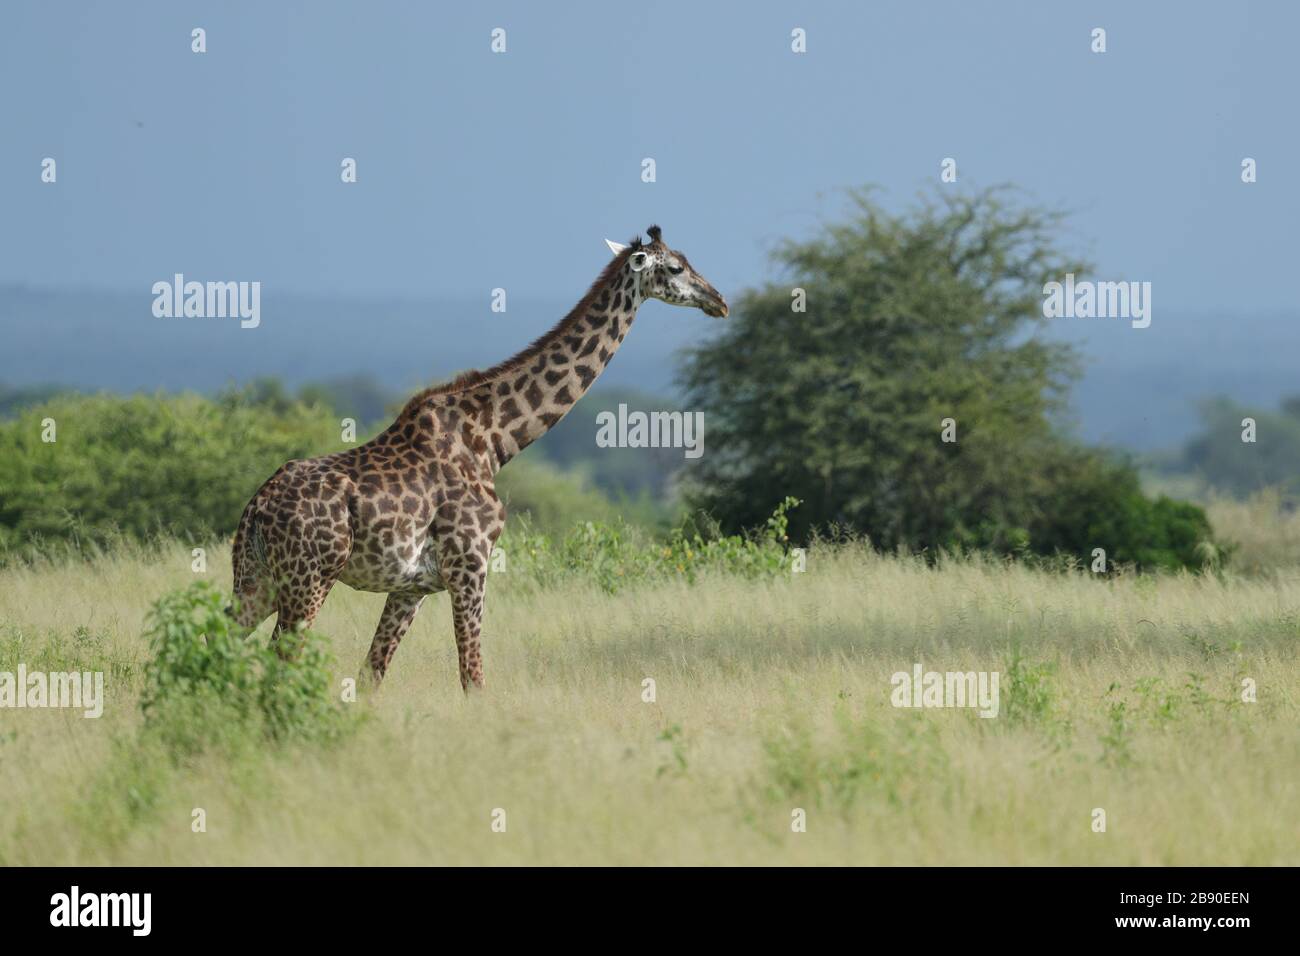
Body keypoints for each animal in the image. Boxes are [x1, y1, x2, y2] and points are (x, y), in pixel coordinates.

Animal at [227, 227, 728, 691]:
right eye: (677, 268)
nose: (719, 300)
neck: (493, 439)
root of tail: (256, 508)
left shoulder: (413, 586)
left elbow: (372, 674)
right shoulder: (471, 564)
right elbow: (473, 678)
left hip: (258, 578)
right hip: (309, 578)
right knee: (279, 659)